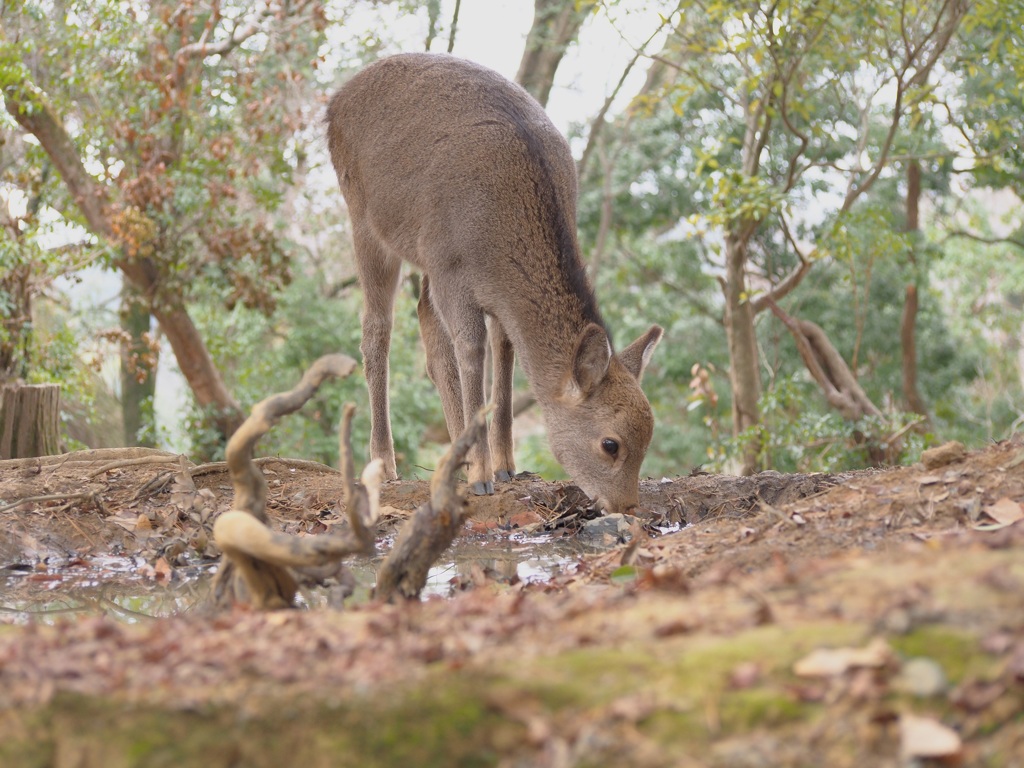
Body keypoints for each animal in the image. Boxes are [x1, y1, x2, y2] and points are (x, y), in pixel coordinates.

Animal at [325, 54, 663, 518]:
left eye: (649, 438)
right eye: (610, 444)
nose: (628, 507)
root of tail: (334, 103)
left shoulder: (484, 291)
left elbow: (504, 356)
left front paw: (504, 465)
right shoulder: (453, 270)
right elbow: (472, 351)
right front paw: (482, 475)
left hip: (423, 257)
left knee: (425, 323)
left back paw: (455, 455)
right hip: (364, 219)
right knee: (377, 330)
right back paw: (385, 462)